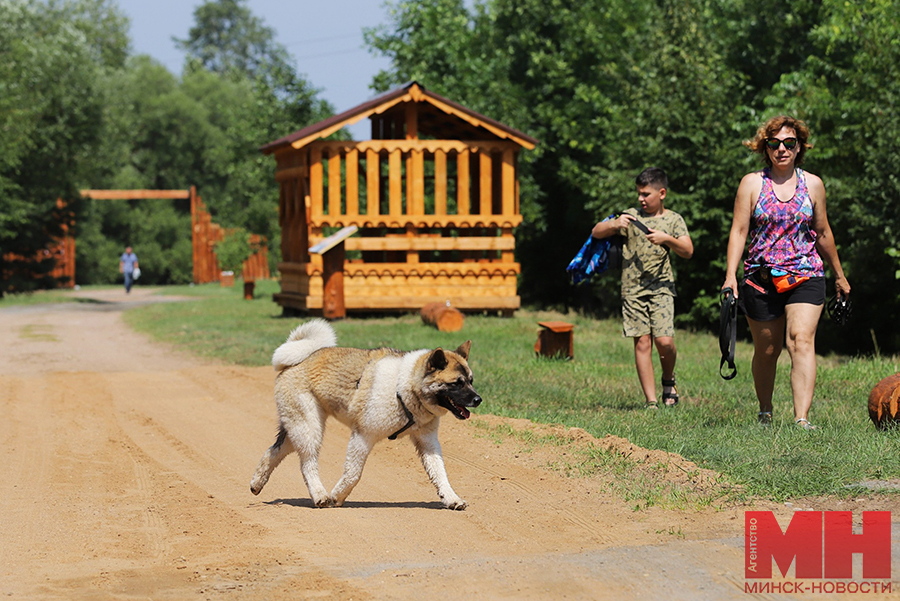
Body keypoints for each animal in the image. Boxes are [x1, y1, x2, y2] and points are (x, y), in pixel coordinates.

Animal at [250, 316, 482, 508]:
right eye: (456, 383)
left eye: (471, 381)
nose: (478, 399)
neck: (405, 387)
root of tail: (299, 359)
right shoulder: (362, 436)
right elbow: (354, 473)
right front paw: (337, 496)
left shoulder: (428, 442)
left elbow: (440, 473)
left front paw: (451, 498)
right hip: (309, 428)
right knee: (307, 464)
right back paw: (320, 495)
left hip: (298, 428)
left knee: (274, 452)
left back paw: (257, 482)